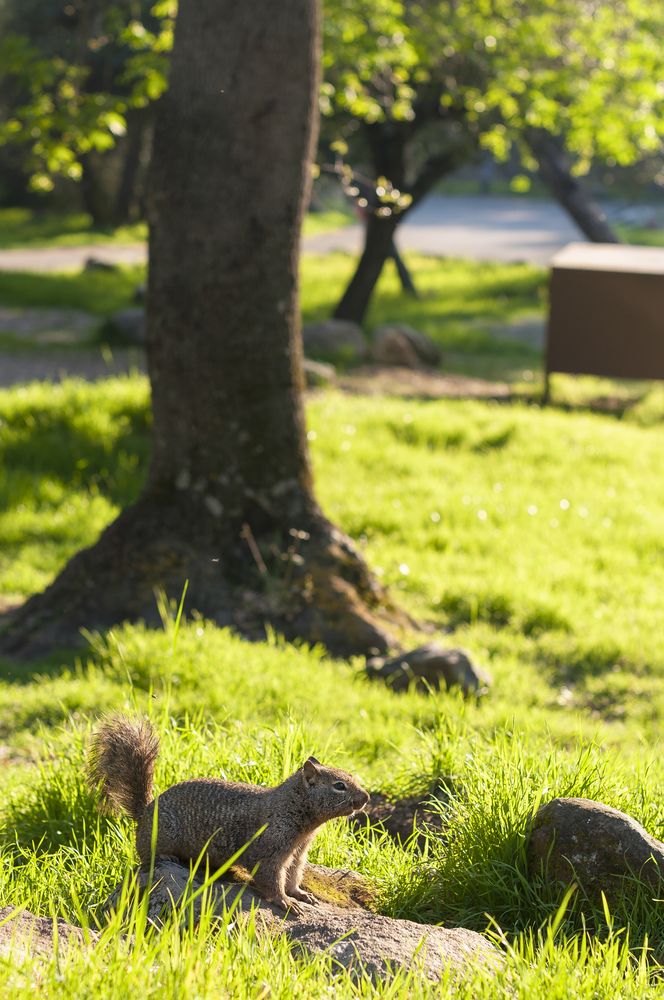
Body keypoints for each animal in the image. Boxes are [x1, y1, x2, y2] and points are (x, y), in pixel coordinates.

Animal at [88, 716, 370, 913]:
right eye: (339, 786)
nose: (366, 798)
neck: (293, 808)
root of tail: (144, 814)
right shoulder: (269, 850)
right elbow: (271, 878)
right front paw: (285, 901)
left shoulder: (297, 854)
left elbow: (292, 875)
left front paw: (299, 894)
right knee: (146, 857)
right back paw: (167, 857)